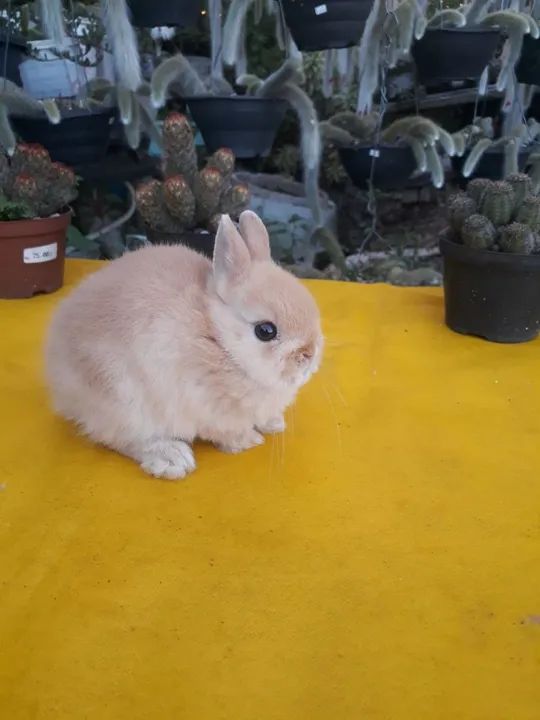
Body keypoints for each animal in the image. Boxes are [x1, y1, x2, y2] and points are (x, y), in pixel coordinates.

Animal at [45, 211, 323, 480]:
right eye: (265, 331)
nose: (309, 355)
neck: (219, 339)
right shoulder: (207, 408)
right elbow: (227, 432)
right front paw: (248, 441)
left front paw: (274, 424)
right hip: (122, 399)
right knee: (124, 439)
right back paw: (172, 459)